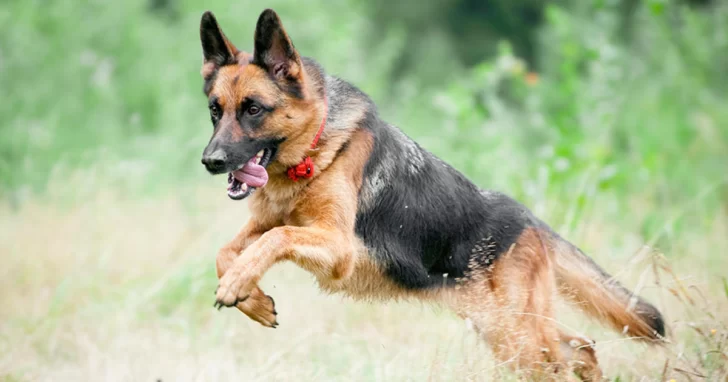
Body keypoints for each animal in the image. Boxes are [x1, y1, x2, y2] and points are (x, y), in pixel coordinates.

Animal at [198, 8, 664, 380]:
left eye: (254, 109)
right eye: (215, 111)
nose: (211, 161)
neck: (315, 150)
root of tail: (526, 218)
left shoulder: (336, 247)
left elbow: (275, 239)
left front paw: (239, 284)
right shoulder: (266, 226)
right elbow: (226, 251)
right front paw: (251, 297)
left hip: (517, 334)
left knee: (569, 355)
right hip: (503, 328)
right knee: (582, 347)